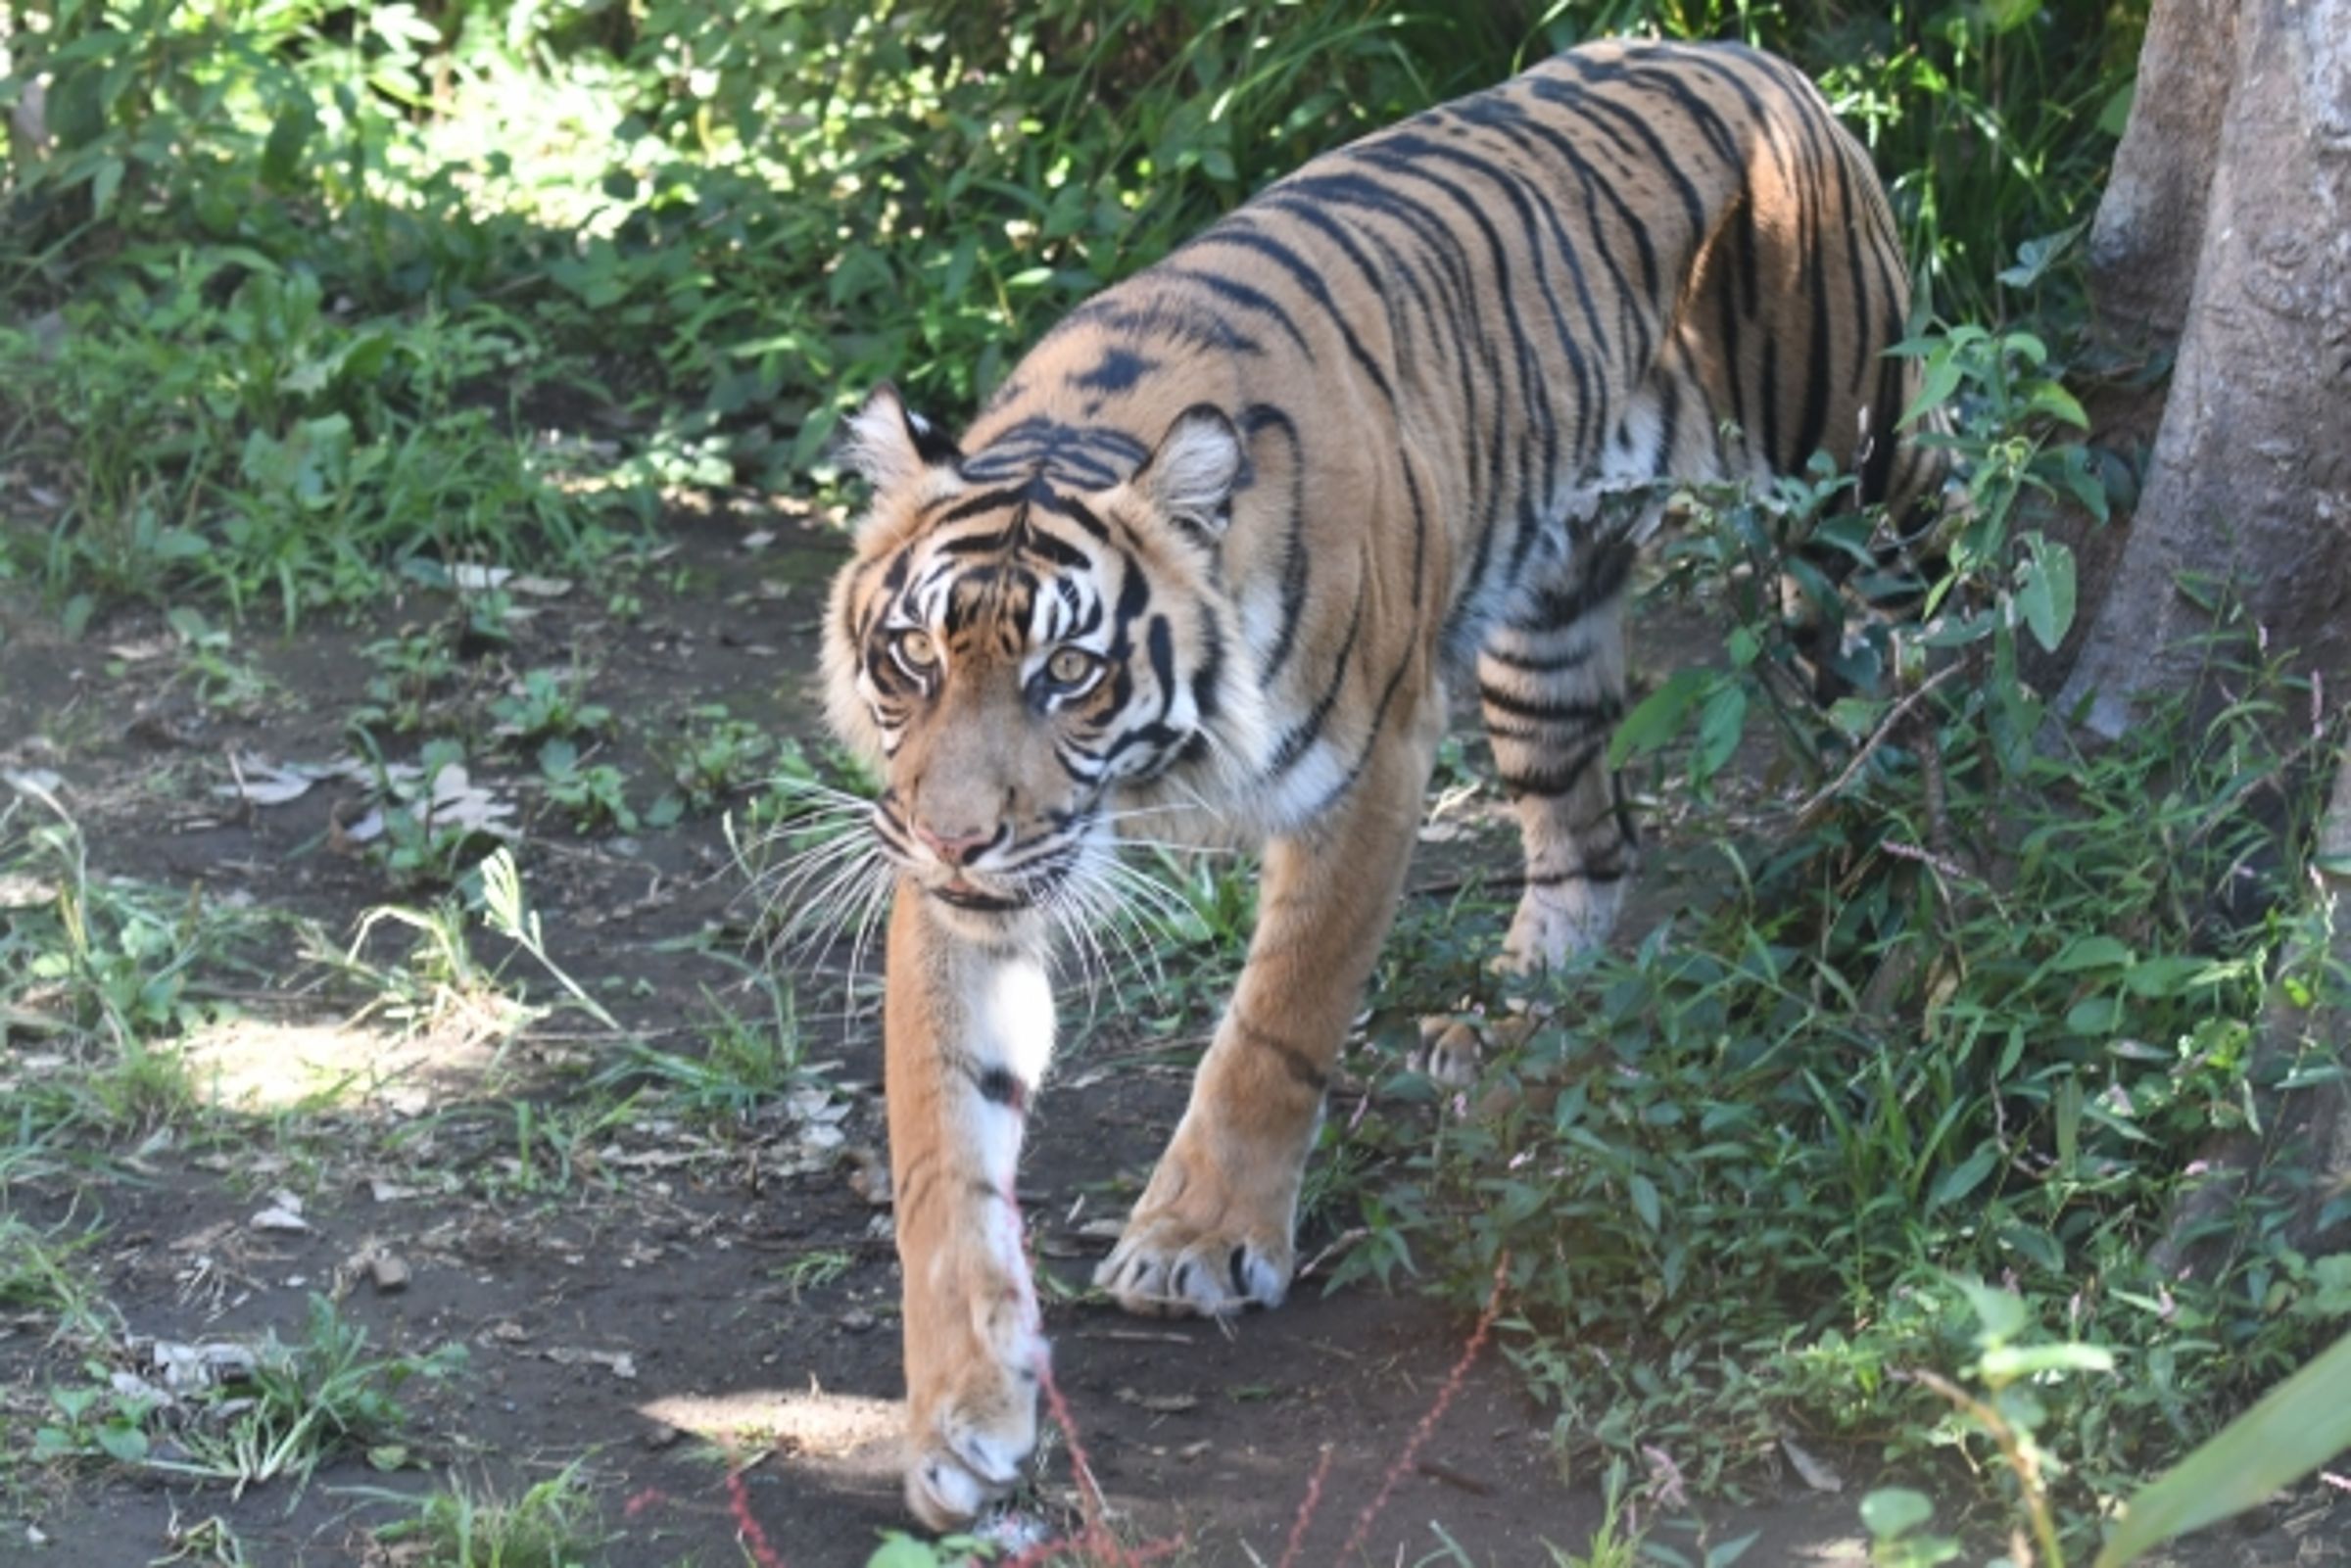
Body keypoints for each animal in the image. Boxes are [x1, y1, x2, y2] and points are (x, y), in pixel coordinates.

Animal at [816, 37, 1940, 1527]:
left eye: (1069, 673)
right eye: (913, 658)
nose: (953, 839)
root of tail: (1759, 62)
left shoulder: (1372, 769)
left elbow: (1277, 1021)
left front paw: (1198, 1239)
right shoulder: (965, 874)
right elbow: (945, 1136)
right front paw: (959, 1418)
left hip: (1853, 486)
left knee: (1949, 634)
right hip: (1545, 632)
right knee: (1594, 839)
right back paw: (1507, 1026)